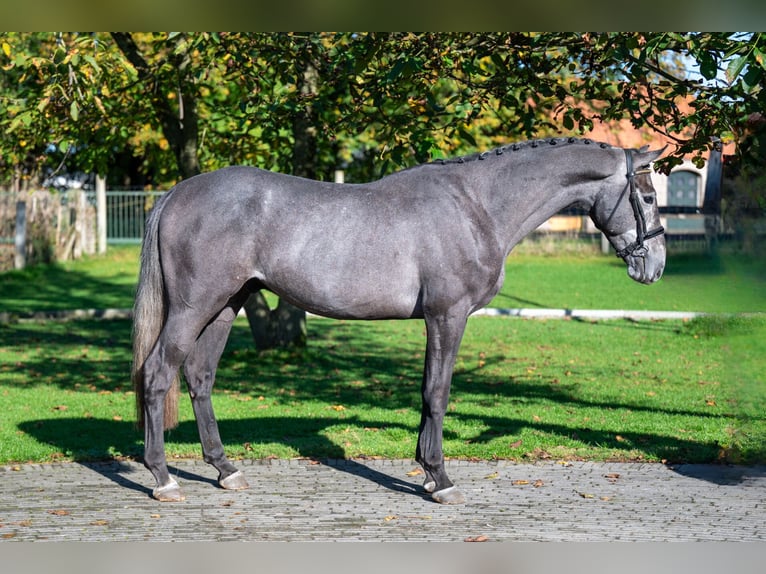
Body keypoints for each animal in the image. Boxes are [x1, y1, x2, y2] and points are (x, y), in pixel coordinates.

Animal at [132, 138, 664, 504]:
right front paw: (441, 479)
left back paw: (226, 470)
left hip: (227, 304)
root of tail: (177, 193)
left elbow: (428, 391)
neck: (476, 206)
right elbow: (439, 392)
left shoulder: (435, 319)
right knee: (157, 374)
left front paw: (426, 473)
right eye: (649, 196)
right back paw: (163, 479)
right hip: (195, 306)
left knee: (200, 377)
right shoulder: (448, 315)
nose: (654, 267)